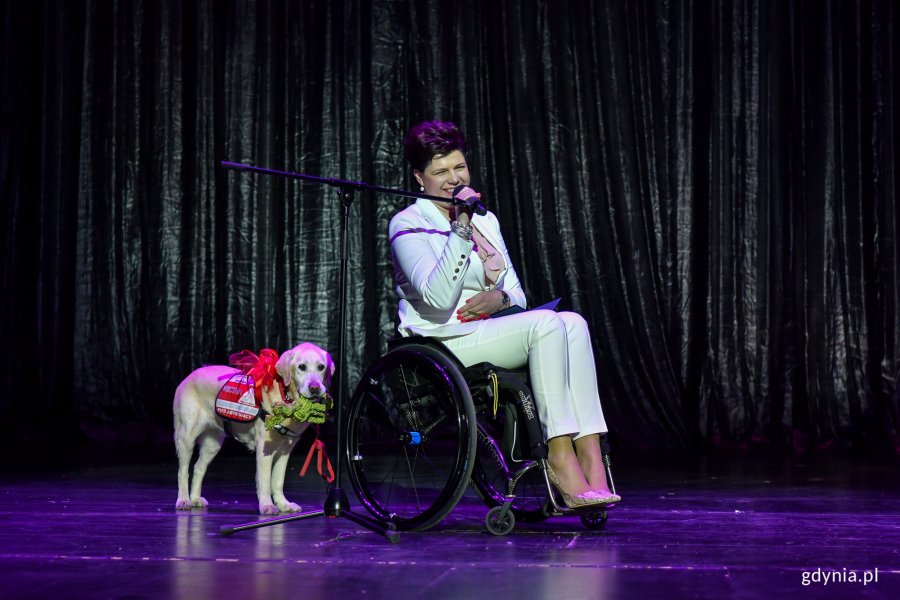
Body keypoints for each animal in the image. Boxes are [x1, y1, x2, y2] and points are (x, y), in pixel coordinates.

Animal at [173, 344, 334, 512]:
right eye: (301, 367)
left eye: (321, 367)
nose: (315, 388)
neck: (287, 396)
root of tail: (188, 377)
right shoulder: (265, 449)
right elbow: (265, 481)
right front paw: (267, 505)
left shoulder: (284, 451)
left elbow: (278, 481)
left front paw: (283, 504)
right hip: (186, 437)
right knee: (182, 471)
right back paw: (183, 500)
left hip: (212, 444)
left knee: (198, 468)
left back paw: (195, 498)